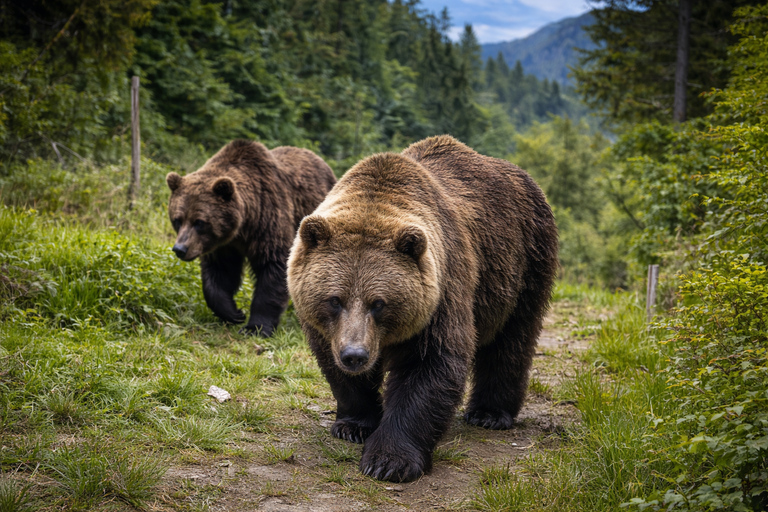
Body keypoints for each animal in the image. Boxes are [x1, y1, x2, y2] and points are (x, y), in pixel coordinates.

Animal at [166, 139, 336, 337]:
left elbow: (272, 267)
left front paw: (255, 327)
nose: (180, 249)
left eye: (199, 222)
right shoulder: (224, 245)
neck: (243, 226)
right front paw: (234, 313)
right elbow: (219, 274)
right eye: (177, 219)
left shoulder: (268, 221)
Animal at [287, 135, 558, 482]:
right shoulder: (328, 330)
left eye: (379, 303)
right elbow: (336, 367)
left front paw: (389, 461)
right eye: (335, 299)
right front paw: (353, 425)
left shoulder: (442, 291)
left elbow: (429, 366)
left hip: (522, 262)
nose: (355, 355)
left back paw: (490, 413)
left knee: (512, 338)